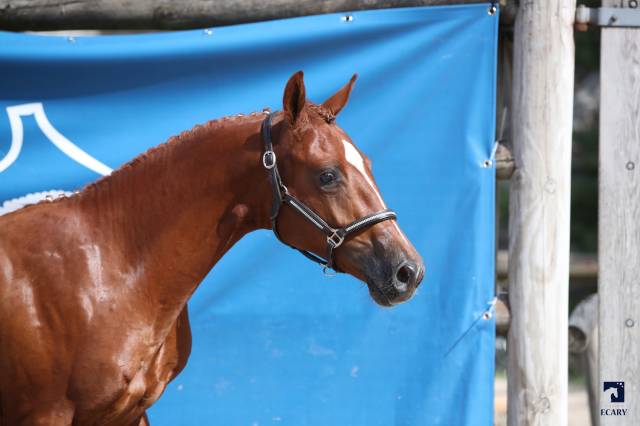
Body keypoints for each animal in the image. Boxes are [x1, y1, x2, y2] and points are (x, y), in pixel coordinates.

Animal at [0, 71, 424, 424]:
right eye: (327, 175)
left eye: (367, 164)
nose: (409, 271)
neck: (111, 266)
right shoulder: (47, 415)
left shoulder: (129, 413)